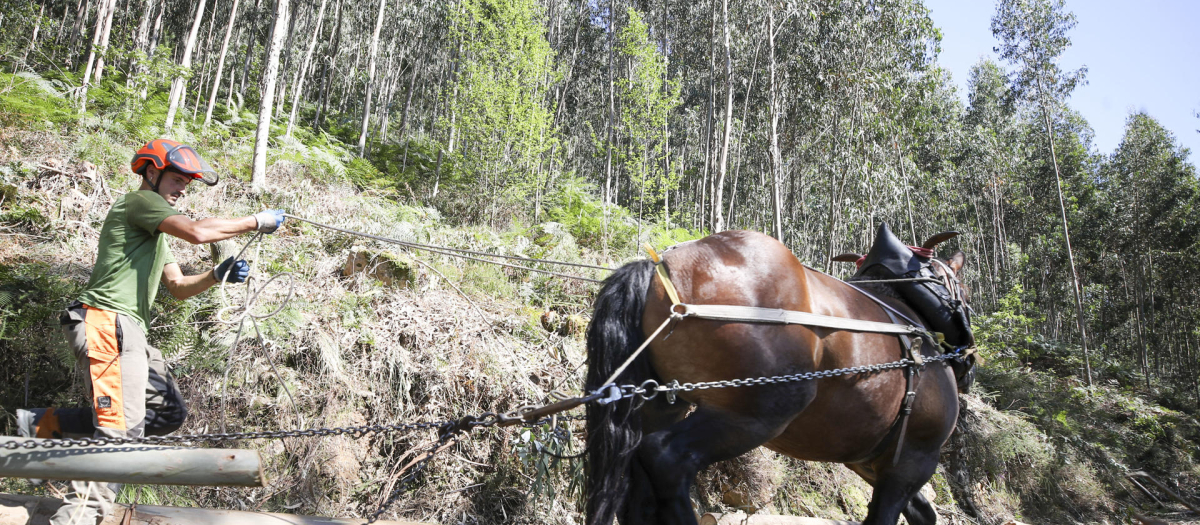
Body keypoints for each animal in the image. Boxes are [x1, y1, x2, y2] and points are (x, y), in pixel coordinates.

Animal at [583, 225, 974, 525]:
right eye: (962, 288)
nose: (968, 359)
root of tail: (660, 269)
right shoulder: (914, 460)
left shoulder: (871, 463)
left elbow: (923, 513)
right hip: (758, 413)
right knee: (666, 458)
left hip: (661, 406)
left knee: (638, 480)